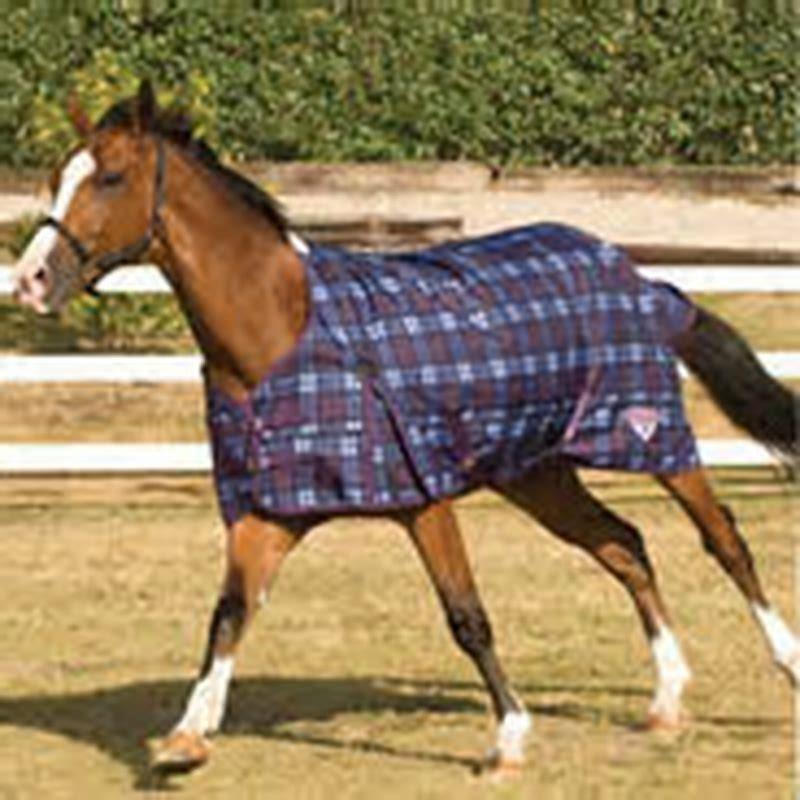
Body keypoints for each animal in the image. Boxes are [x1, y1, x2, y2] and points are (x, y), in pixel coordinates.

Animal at [13, 81, 798, 778]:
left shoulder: (423, 496)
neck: (282, 335)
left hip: (650, 436)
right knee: (624, 545)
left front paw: (509, 741)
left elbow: (466, 615)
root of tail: (640, 280)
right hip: (536, 473)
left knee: (724, 540)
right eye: (55, 178)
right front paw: (187, 736)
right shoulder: (271, 509)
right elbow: (230, 613)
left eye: (110, 177)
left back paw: (785, 663)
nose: (29, 280)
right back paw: (666, 700)